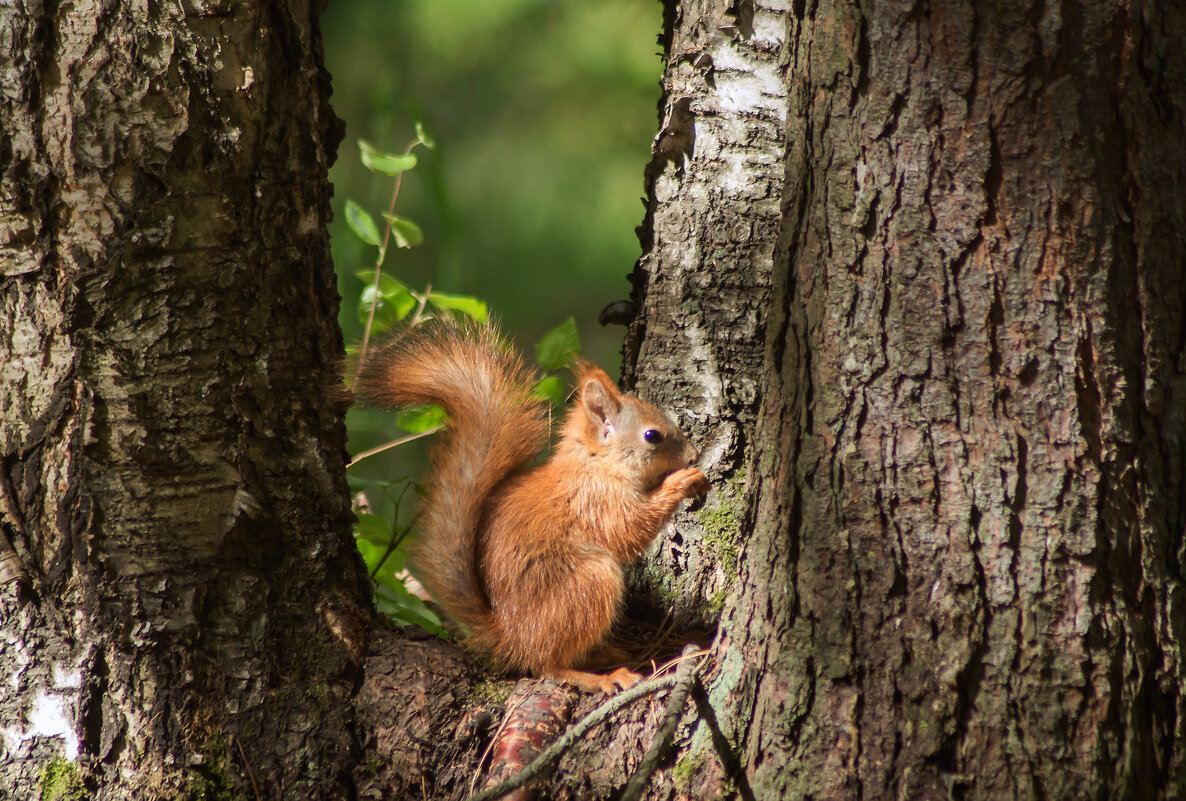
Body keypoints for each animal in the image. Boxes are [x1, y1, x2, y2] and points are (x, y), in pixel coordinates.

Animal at [351, 322, 702, 693]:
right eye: (652, 436)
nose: (693, 456)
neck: (594, 463)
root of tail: (512, 639)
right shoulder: (595, 500)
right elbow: (627, 529)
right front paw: (682, 481)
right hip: (589, 583)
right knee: (549, 665)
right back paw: (602, 676)